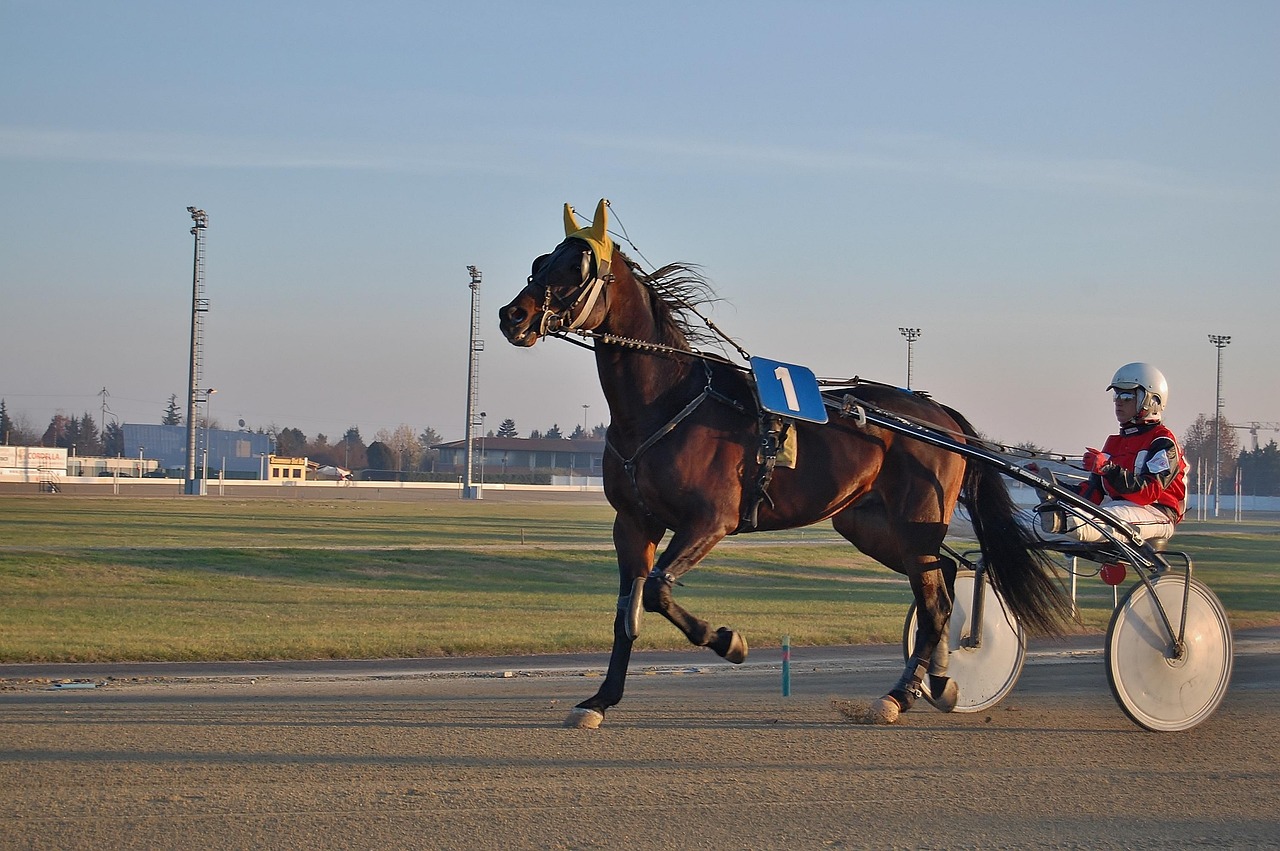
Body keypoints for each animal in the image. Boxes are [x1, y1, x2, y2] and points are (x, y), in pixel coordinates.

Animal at [499, 199, 1072, 728]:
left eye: (577, 267)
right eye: (541, 260)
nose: (513, 315)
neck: (664, 404)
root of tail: (940, 415)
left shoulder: (711, 520)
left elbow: (658, 590)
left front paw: (728, 640)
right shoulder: (633, 522)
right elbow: (628, 610)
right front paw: (599, 700)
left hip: (917, 519)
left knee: (934, 604)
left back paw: (899, 695)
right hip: (869, 524)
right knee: (944, 579)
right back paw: (937, 681)